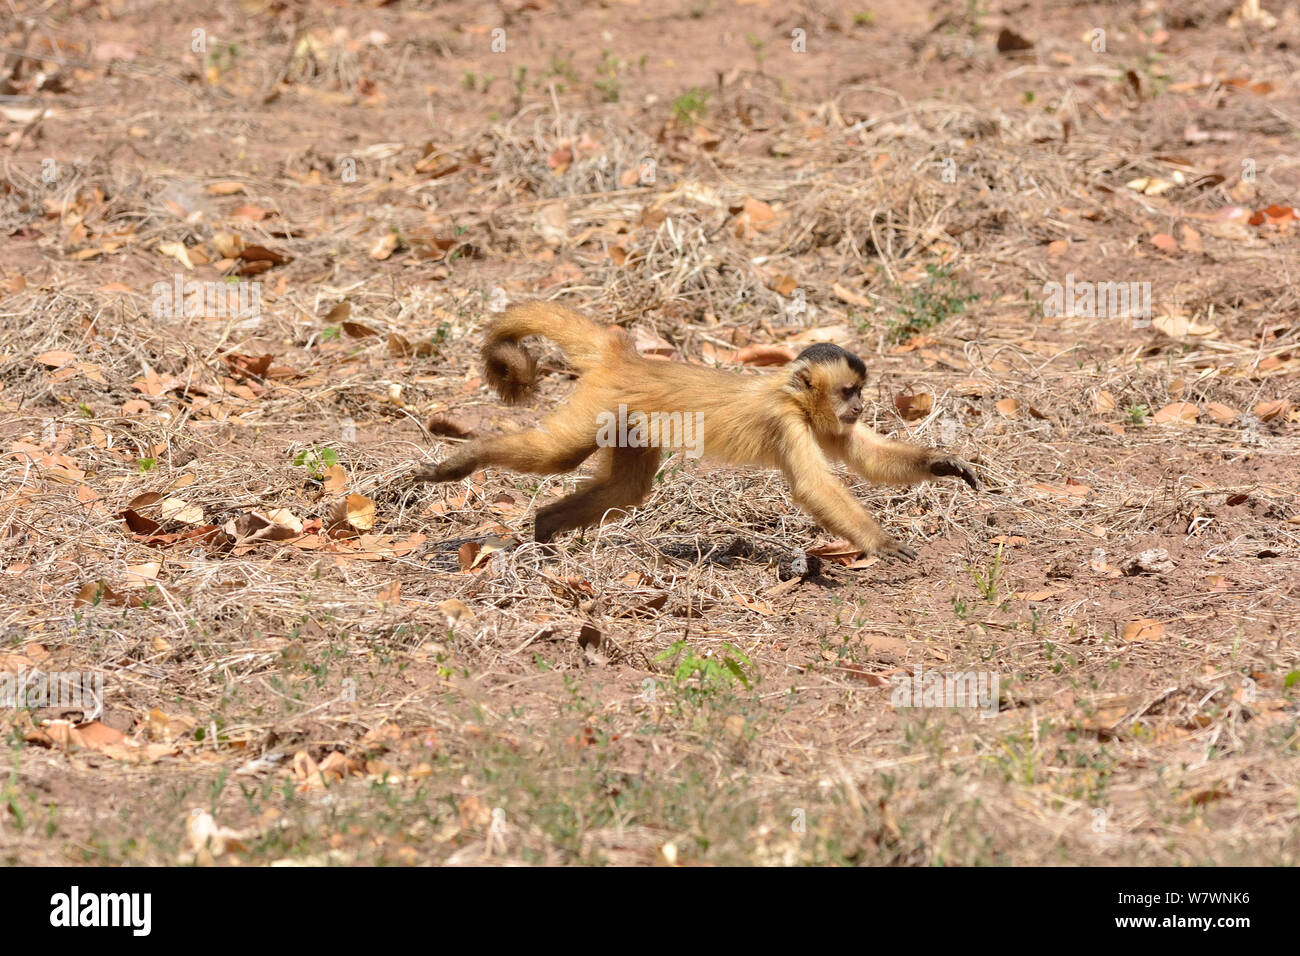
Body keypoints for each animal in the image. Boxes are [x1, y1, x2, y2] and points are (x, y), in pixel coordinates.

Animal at [413, 300, 977, 561]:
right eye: (847, 391)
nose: (859, 406)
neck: (794, 396)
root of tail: (626, 356)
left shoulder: (824, 424)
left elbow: (865, 459)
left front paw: (942, 464)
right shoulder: (785, 420)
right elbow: (815, 486)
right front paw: (880, 542)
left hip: (628, 423)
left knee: (626, 488)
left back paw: (545, 532)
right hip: (600, 403)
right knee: (557, 455)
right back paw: (464, 461)